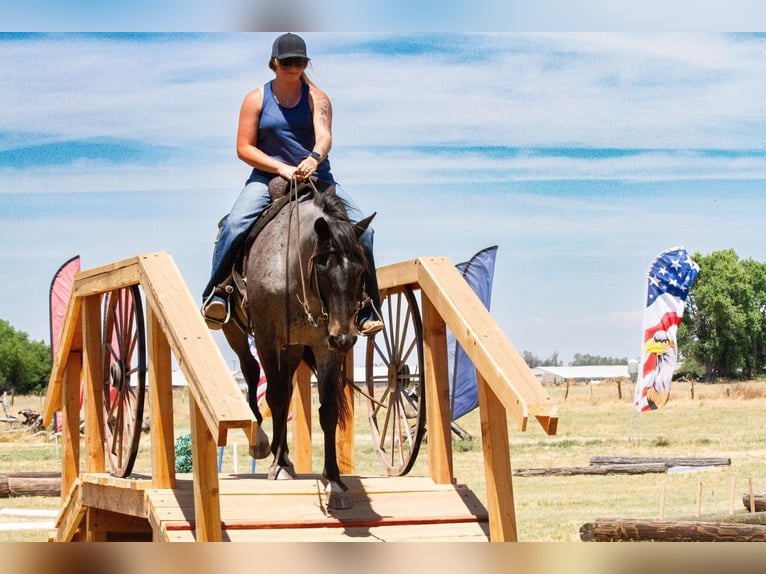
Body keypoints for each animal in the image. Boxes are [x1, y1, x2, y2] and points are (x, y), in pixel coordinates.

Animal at [219, 178, 376, 510]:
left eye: (361, 271)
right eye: (323, 267)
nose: (345, 338)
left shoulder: (325, 346)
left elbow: (327, 410)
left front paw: (334, 480)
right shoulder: (268, 338)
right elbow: (275, 398)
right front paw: (277, 466)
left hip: (292, 349)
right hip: (237, 332)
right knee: (252, 373)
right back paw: (264, 445)